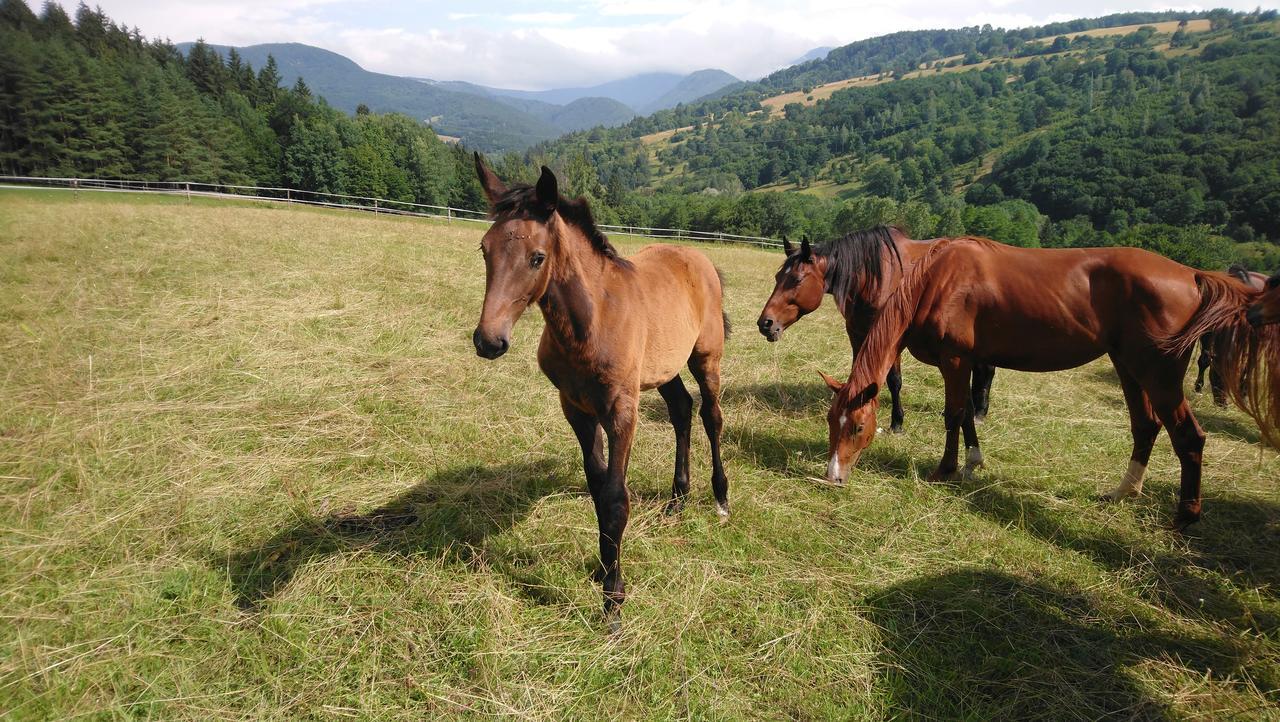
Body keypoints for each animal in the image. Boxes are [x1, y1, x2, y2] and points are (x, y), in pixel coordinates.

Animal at [471, 154, 732, 629]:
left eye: (537, 258)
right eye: (485, 249)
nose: (489, 341)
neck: (589, 323)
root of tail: (696, 255)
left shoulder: (620, 411)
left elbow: (614, 498)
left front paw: (613, 601)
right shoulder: (576, 408)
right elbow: (596, 487)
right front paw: (603, 565)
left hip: (706, 357)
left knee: (711, 416)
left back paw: (720, 498)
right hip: (662, 367)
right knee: (682, 410)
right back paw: (677, 500)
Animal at [752, 226, 993, 427]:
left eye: (797, 279)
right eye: (777, 277)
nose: (765, 323)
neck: (873, 279)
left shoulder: (892, 336)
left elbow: (894, 381)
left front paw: (897, 422)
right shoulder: (856, 333)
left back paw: (979, 413)